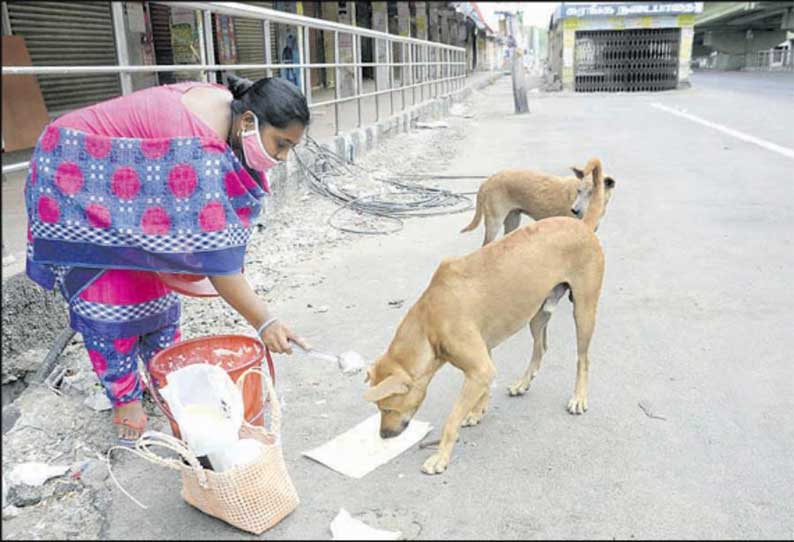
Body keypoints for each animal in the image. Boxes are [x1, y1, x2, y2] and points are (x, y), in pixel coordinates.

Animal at [460, 167, 616, 245]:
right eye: (579, 190)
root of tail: (489, 180)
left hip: (512, 220)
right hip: (494, 222)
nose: (575, 210)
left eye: (592, 193)